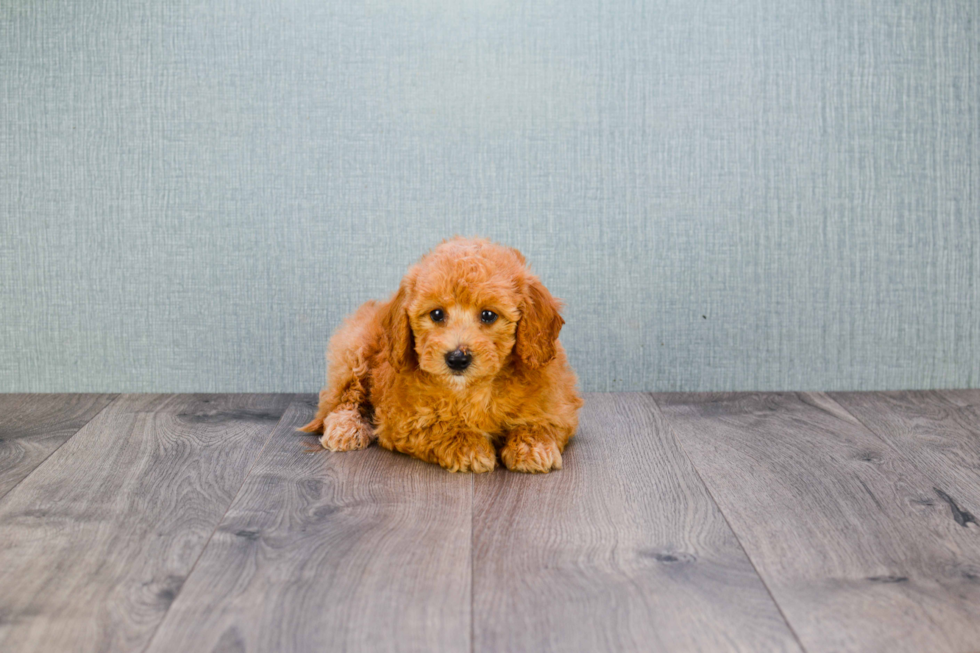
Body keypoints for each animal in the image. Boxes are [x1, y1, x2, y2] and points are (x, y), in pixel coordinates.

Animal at [300, 237, 580, 472]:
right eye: (436, 314)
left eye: (488, 315)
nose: (457, 358)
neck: (472, 389)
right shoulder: (401, 419)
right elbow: (438, 426)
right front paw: (469, 445)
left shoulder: (558, 406)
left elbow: (541, 422)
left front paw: (533, 446)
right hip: (354, 350)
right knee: (342, 399)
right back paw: (347, 428)